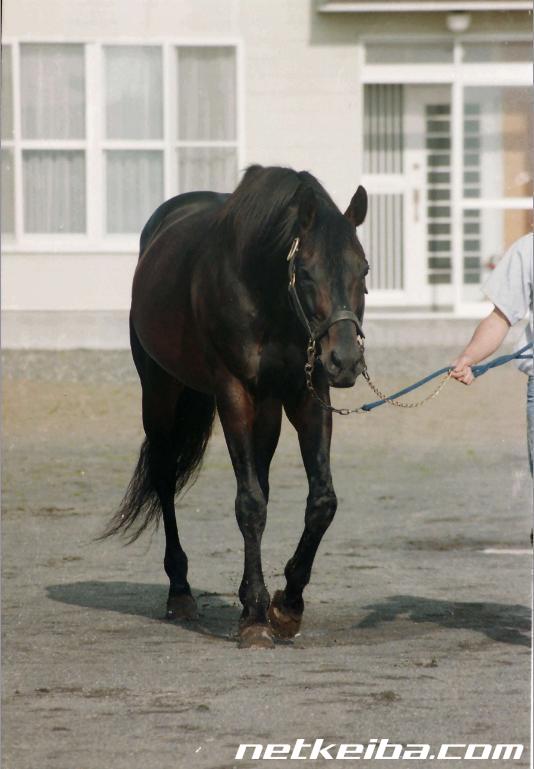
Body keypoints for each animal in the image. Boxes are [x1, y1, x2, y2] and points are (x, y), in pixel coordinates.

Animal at [103, 165, 368, 644]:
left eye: (365, 269)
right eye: (305, 272)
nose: (344, 360)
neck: (265, 294)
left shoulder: (307, 394)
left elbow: (320, 501)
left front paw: (286, 604)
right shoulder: (233, 393)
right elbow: (249, 504)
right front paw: (256, 619)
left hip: (267, 409)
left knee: (259, 477)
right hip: (160, 392)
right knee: (164, 477)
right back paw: (180, 591)